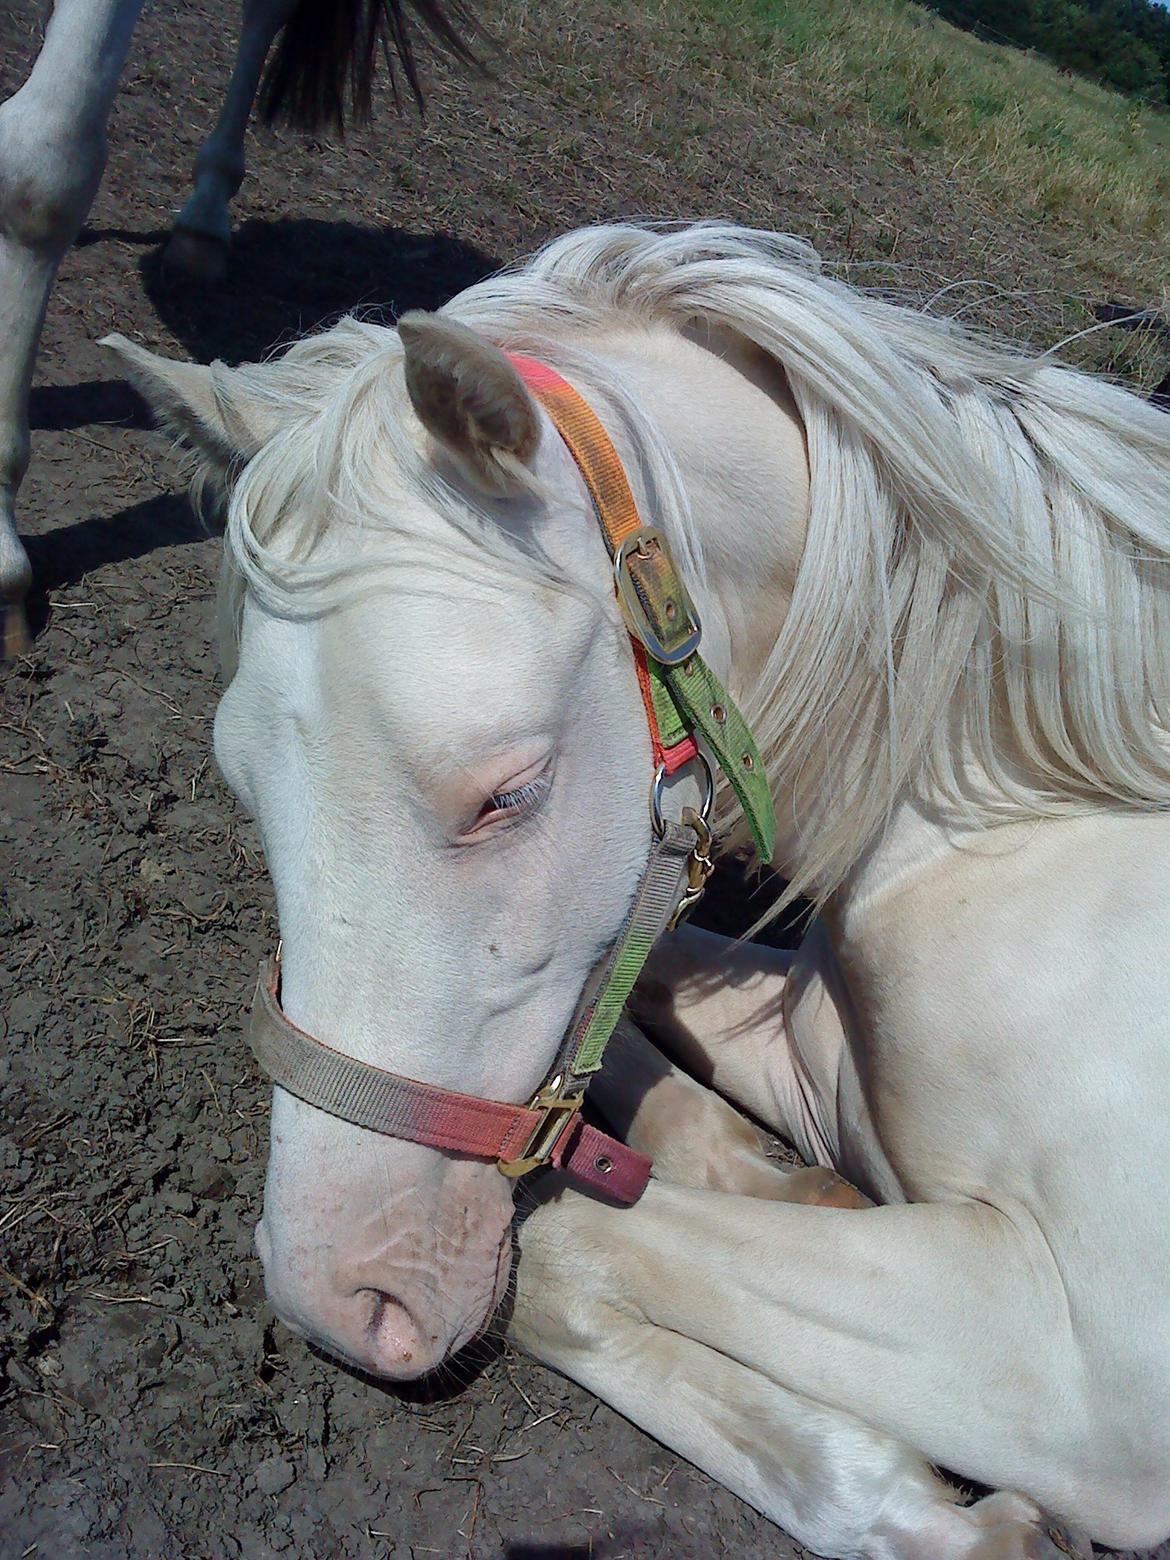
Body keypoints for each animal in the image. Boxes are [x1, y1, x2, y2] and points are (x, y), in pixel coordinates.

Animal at [104, 221, 1170, 1560]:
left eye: (508, 792)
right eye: (243, 784)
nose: (335, 1296)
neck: (1015, 825)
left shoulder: (1077, 1368)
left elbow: (561, 1250)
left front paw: (964, 1524)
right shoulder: (804, 1059)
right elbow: (625, 1023)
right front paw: (770, 1183)